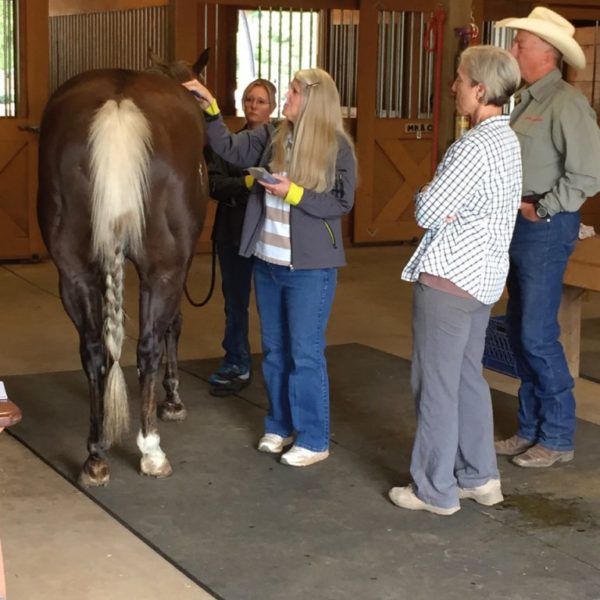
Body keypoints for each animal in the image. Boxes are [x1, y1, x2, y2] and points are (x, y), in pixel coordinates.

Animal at [37, 52, 210, 488]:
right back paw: (151, 450)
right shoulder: (176, 269)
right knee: (146, 347)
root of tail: (118, 107)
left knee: (94, 349)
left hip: (74, 272)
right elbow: (172, 328)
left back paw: (96, 456)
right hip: (162, 269)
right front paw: (173, 401)